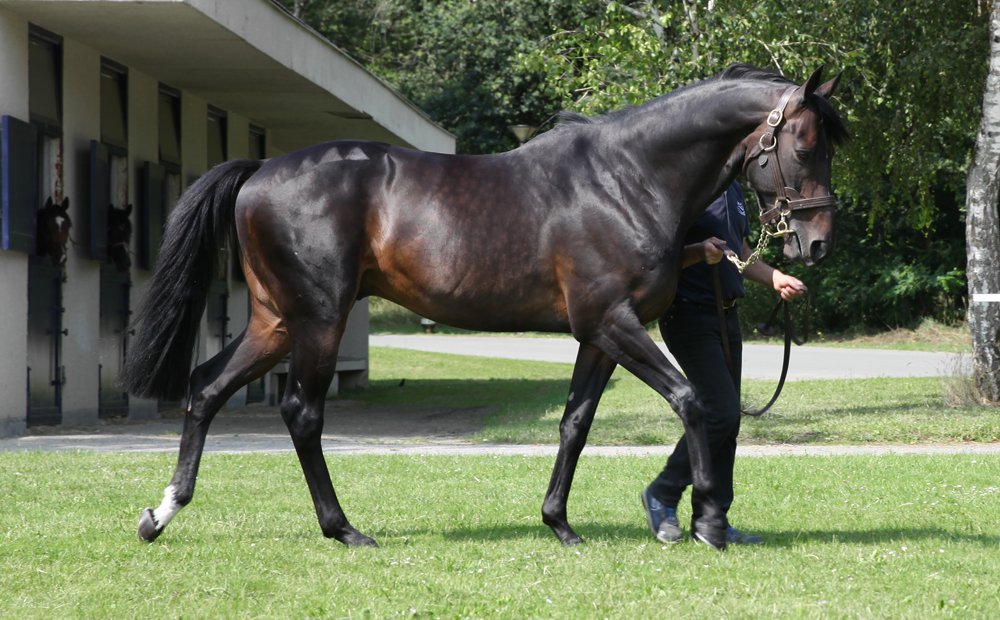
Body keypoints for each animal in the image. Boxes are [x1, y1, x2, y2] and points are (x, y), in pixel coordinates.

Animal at [122, 64, 846, 550]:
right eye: (805, 146)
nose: (816, 243)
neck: (626, 180)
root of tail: (261, 171)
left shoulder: (597, 335)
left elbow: (575, 424)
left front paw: (560, 525)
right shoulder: (615, 323)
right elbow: (693, 400)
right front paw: (709, 523)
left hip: (275, 322)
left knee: (204, 389)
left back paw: (161, 514)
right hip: (319, 321)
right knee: (300, 412)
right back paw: (344, 529)